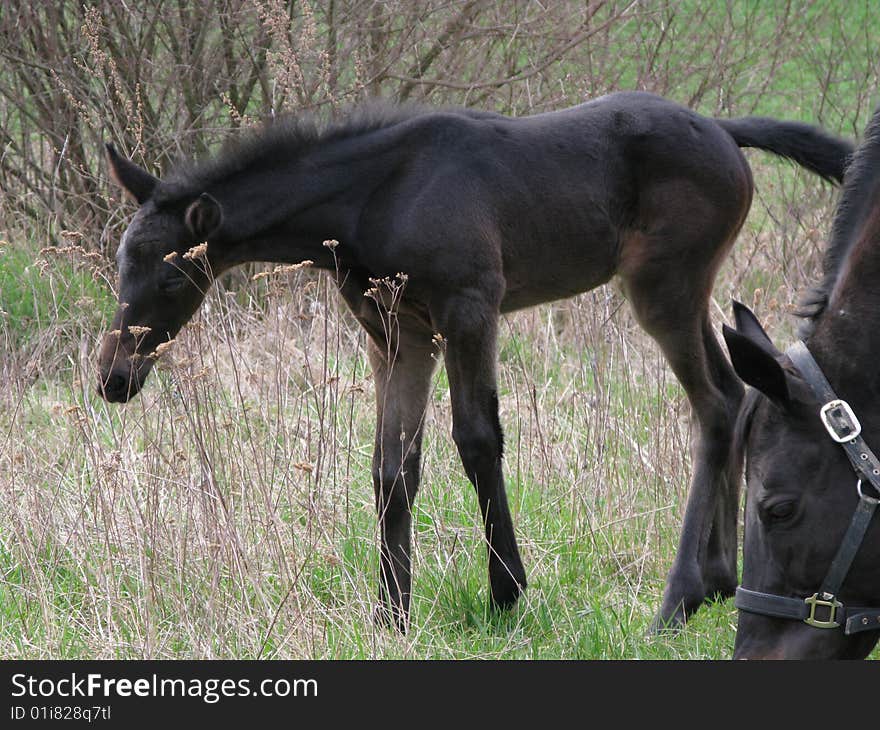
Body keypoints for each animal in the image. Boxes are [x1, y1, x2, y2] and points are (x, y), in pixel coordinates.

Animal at [98, 92, 852, 632]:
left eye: (170, 278)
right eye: (120, 263)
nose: (114, 378)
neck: (373, 197)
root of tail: (724, 131)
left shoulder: (469, 308)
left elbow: (478, 440)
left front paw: (505, 592)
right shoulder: (397, 333)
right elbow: (392, 467)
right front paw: (391, 612)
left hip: (664, 285)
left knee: (717, 404)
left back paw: (681, 596)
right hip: (682, 290)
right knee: (732, 394)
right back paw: (719, 581)